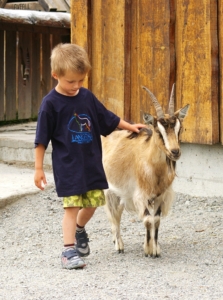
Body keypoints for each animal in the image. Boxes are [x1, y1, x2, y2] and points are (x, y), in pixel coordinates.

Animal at [102, 85, 189, 258]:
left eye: (179, 128)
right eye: (158, 131)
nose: (175, 152)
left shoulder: (160, 195)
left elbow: (156, 220)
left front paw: (155, 248)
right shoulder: (141, 194)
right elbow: (148, 220)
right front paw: (149, 250)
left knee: (117, 211)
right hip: (109, 187)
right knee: (113, 213)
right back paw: (119, 245)